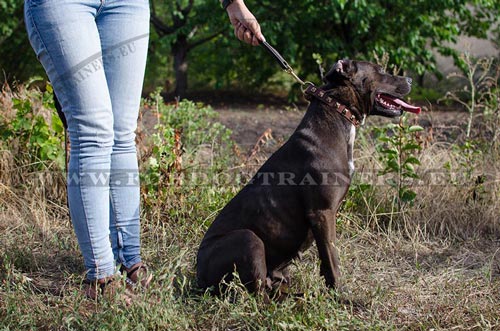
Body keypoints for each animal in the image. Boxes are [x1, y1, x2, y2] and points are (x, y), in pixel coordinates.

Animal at [197, 59, 420, 296]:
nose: (409, 79)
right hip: (248, 239)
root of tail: (198, 278)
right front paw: (341, 296)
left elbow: (327, 258)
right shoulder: (322, 212)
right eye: (380, 71)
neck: (337, 110)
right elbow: (332, 258)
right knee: (258, 294)